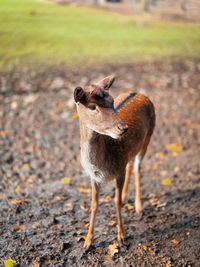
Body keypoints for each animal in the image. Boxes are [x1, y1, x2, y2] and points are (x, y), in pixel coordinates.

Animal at [74, 76, 156, 251]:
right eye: (92, 107)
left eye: (112, 101)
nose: (123, 128)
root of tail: (138, 92)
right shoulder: (93, 177)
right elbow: (94, 204)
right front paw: (87, 242)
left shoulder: (119, 171)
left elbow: (115, 202)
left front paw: (122, 237)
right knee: (131, 164)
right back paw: (126, 197)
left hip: (148, 138)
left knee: (138, 167)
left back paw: (139, 205)